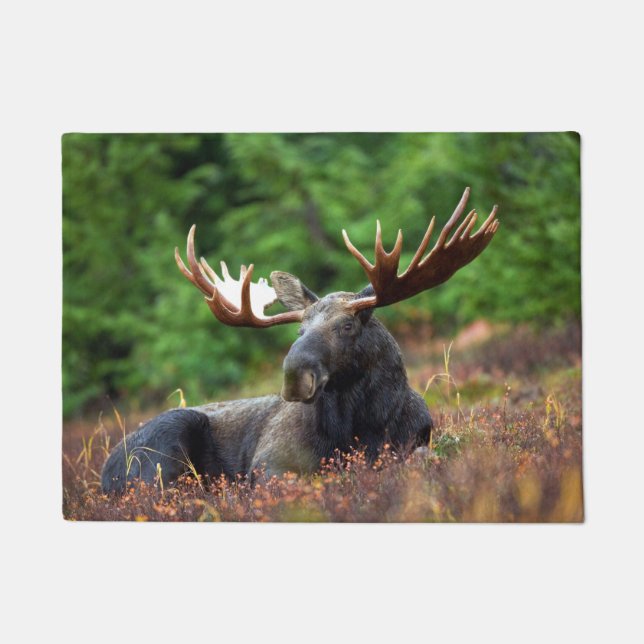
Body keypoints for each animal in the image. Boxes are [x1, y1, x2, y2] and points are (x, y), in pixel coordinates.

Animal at [101, 188, 499, 493]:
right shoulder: (269, 463)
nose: (294, 376)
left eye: (347, 326)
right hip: (165, 445)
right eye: (299, 331)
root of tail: (105, 472)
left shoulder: (416, 441)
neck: (363, 427)